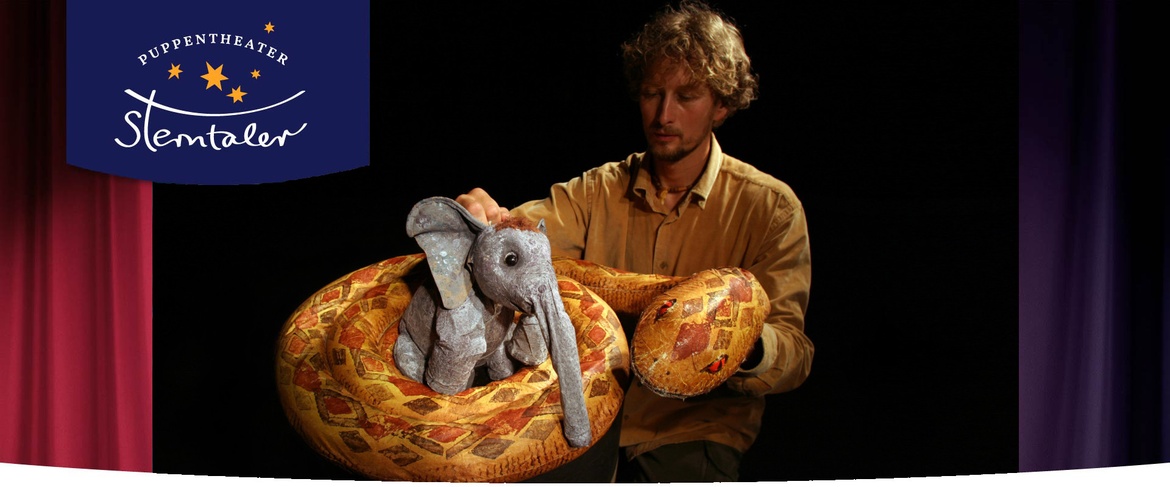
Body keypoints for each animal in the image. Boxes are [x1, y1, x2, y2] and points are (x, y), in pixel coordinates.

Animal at [394, 196, 591, 448]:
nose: (580, 442)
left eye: (549, 259)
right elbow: (459, 358)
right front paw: (453, 387)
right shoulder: (459, 309)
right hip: (405, 341)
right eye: (511, 259)